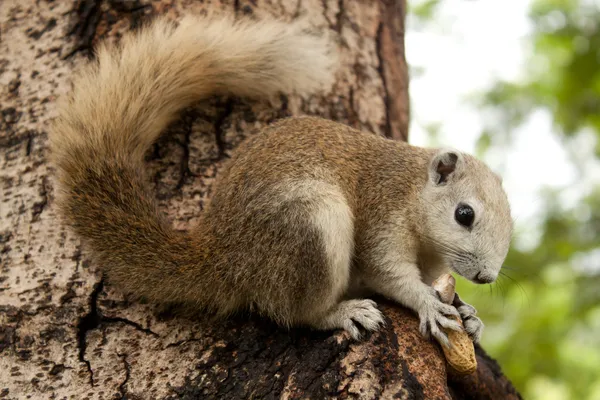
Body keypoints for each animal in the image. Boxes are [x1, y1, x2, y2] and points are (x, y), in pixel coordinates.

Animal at [49, 14, 512, 346]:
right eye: (464, 214)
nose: (487, 277)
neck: (413, 192)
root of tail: (220, 257)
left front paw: (470, 314)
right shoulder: (382, 216)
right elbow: (388, 273)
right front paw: (427, 305)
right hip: (310, 223)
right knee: (292, 312)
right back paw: (340, 312)